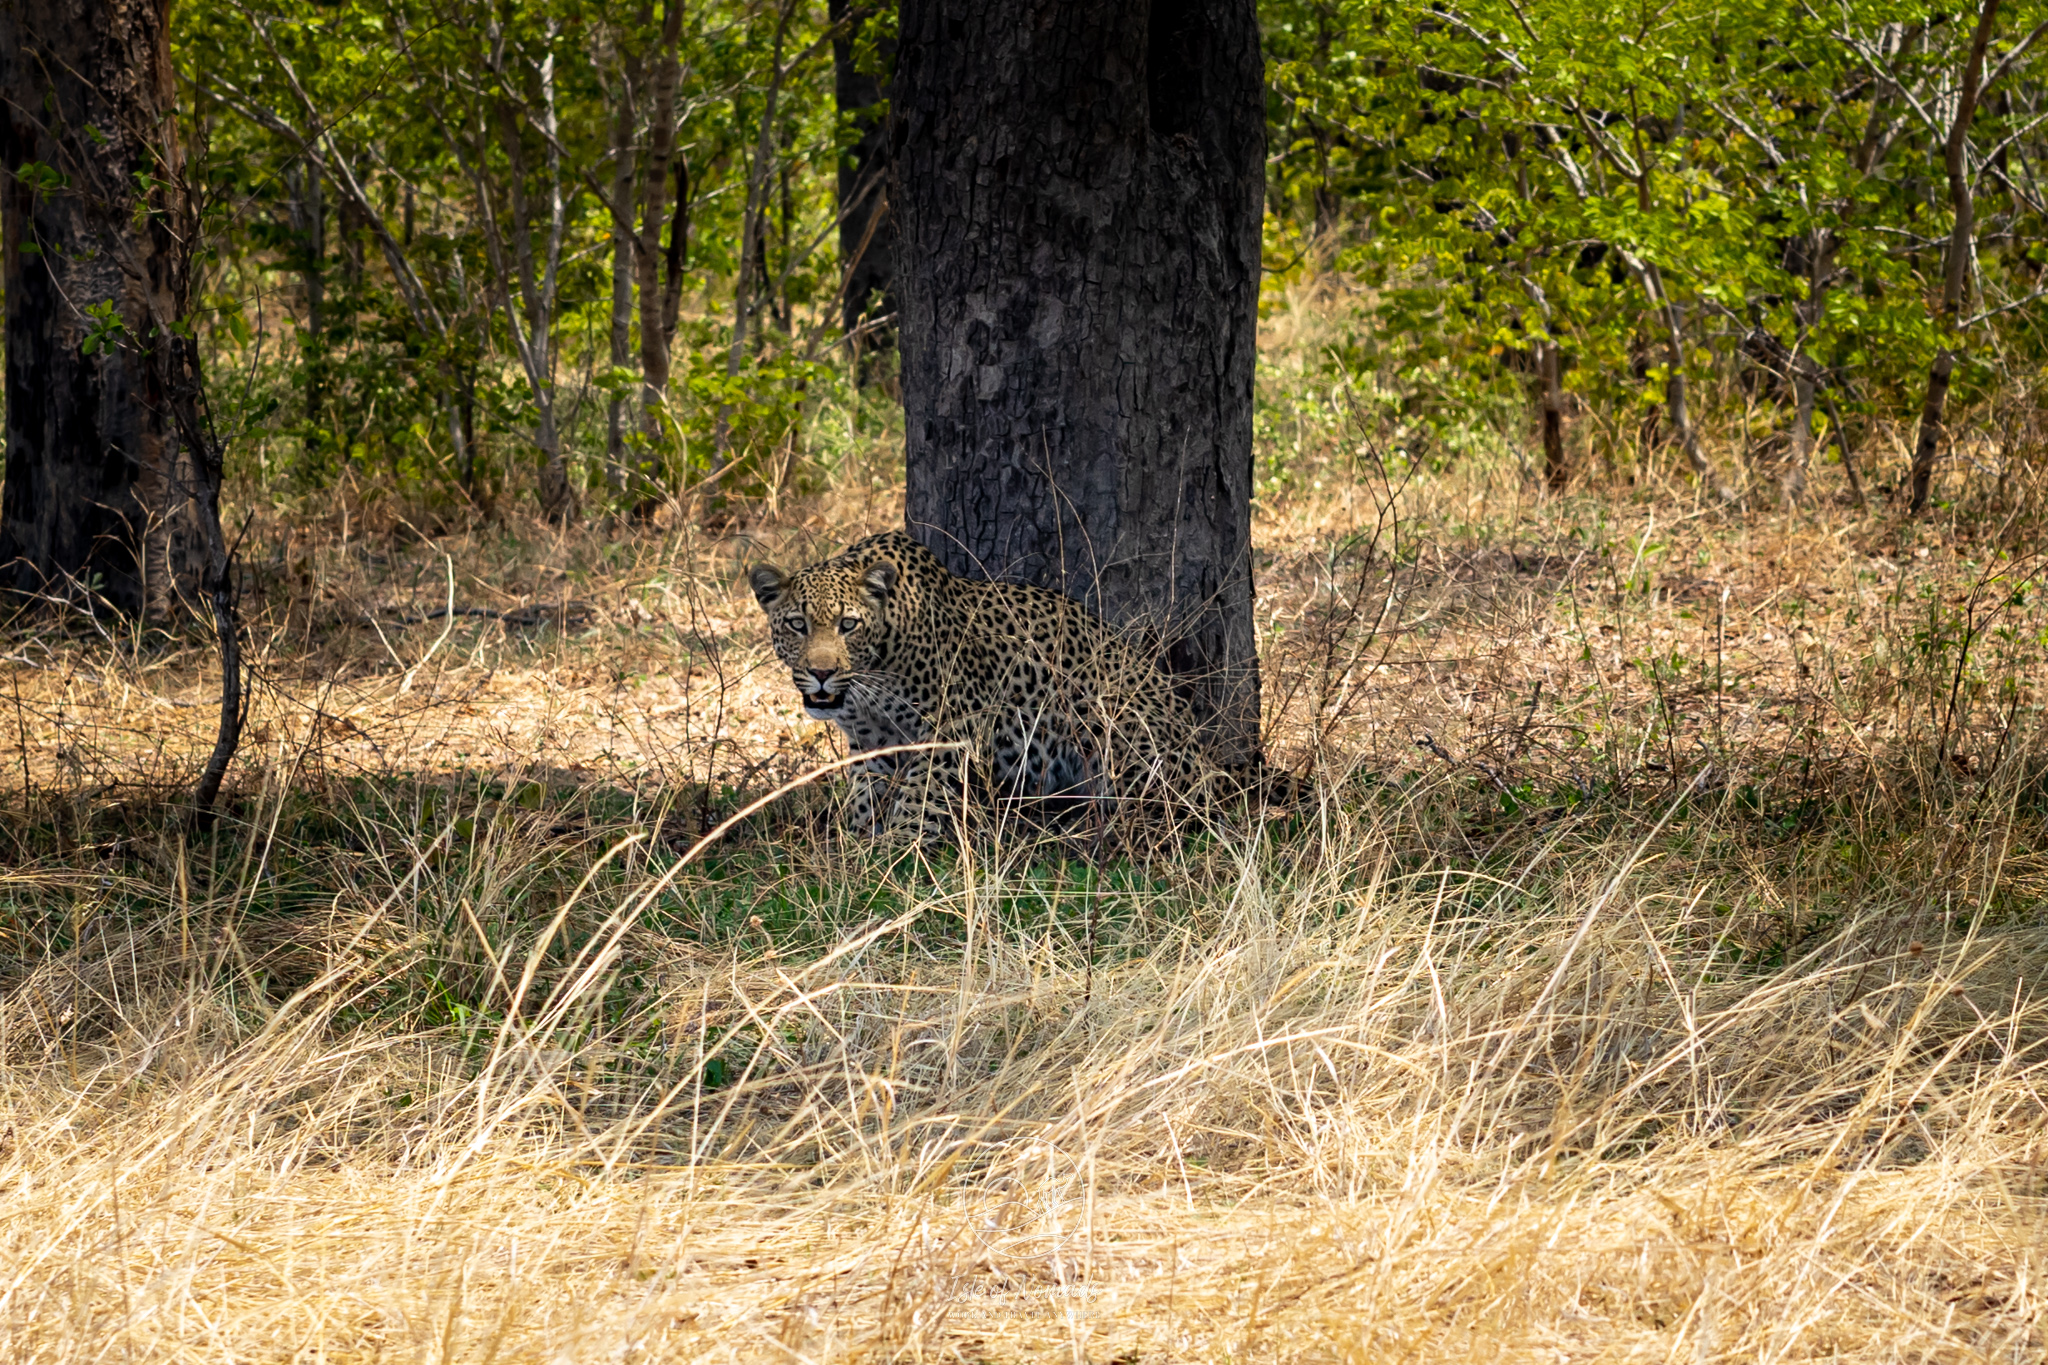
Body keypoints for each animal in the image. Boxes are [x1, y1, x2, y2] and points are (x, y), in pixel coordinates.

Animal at [757, 532, 1220, 843]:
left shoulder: (953, 724)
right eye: (797, 624)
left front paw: (901, 846)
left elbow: (920, 793)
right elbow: (864, 792)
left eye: (848, 625)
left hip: (1113, 720)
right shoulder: (871, 740)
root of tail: (1207, 765)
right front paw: (856, 841)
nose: (821, 672)